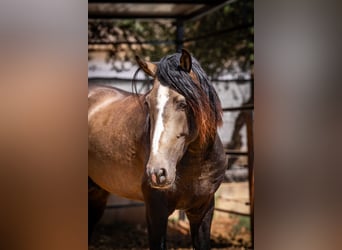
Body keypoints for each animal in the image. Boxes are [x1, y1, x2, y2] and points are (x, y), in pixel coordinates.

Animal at [88, 49, 227, 250]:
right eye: (147, 103)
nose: (157, 173)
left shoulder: (204, 210)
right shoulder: (156, 212)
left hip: (97, 192)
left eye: (183, 103)